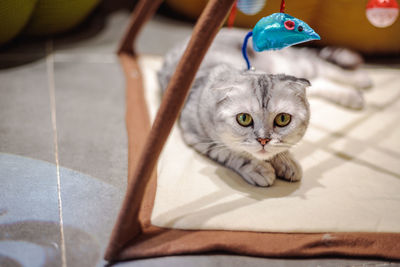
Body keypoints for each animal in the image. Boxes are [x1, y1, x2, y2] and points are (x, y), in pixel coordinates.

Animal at [156, 27, 372, 186]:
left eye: (283, 119)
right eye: (244, 119)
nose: (263, 140)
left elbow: (279, 149)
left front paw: (286, 162)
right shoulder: (198, 137)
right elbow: (233, 152)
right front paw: (260, 168)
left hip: (298, 66)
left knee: (326, 69)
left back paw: (360, 82)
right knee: (321, 80)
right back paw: (354, 94)